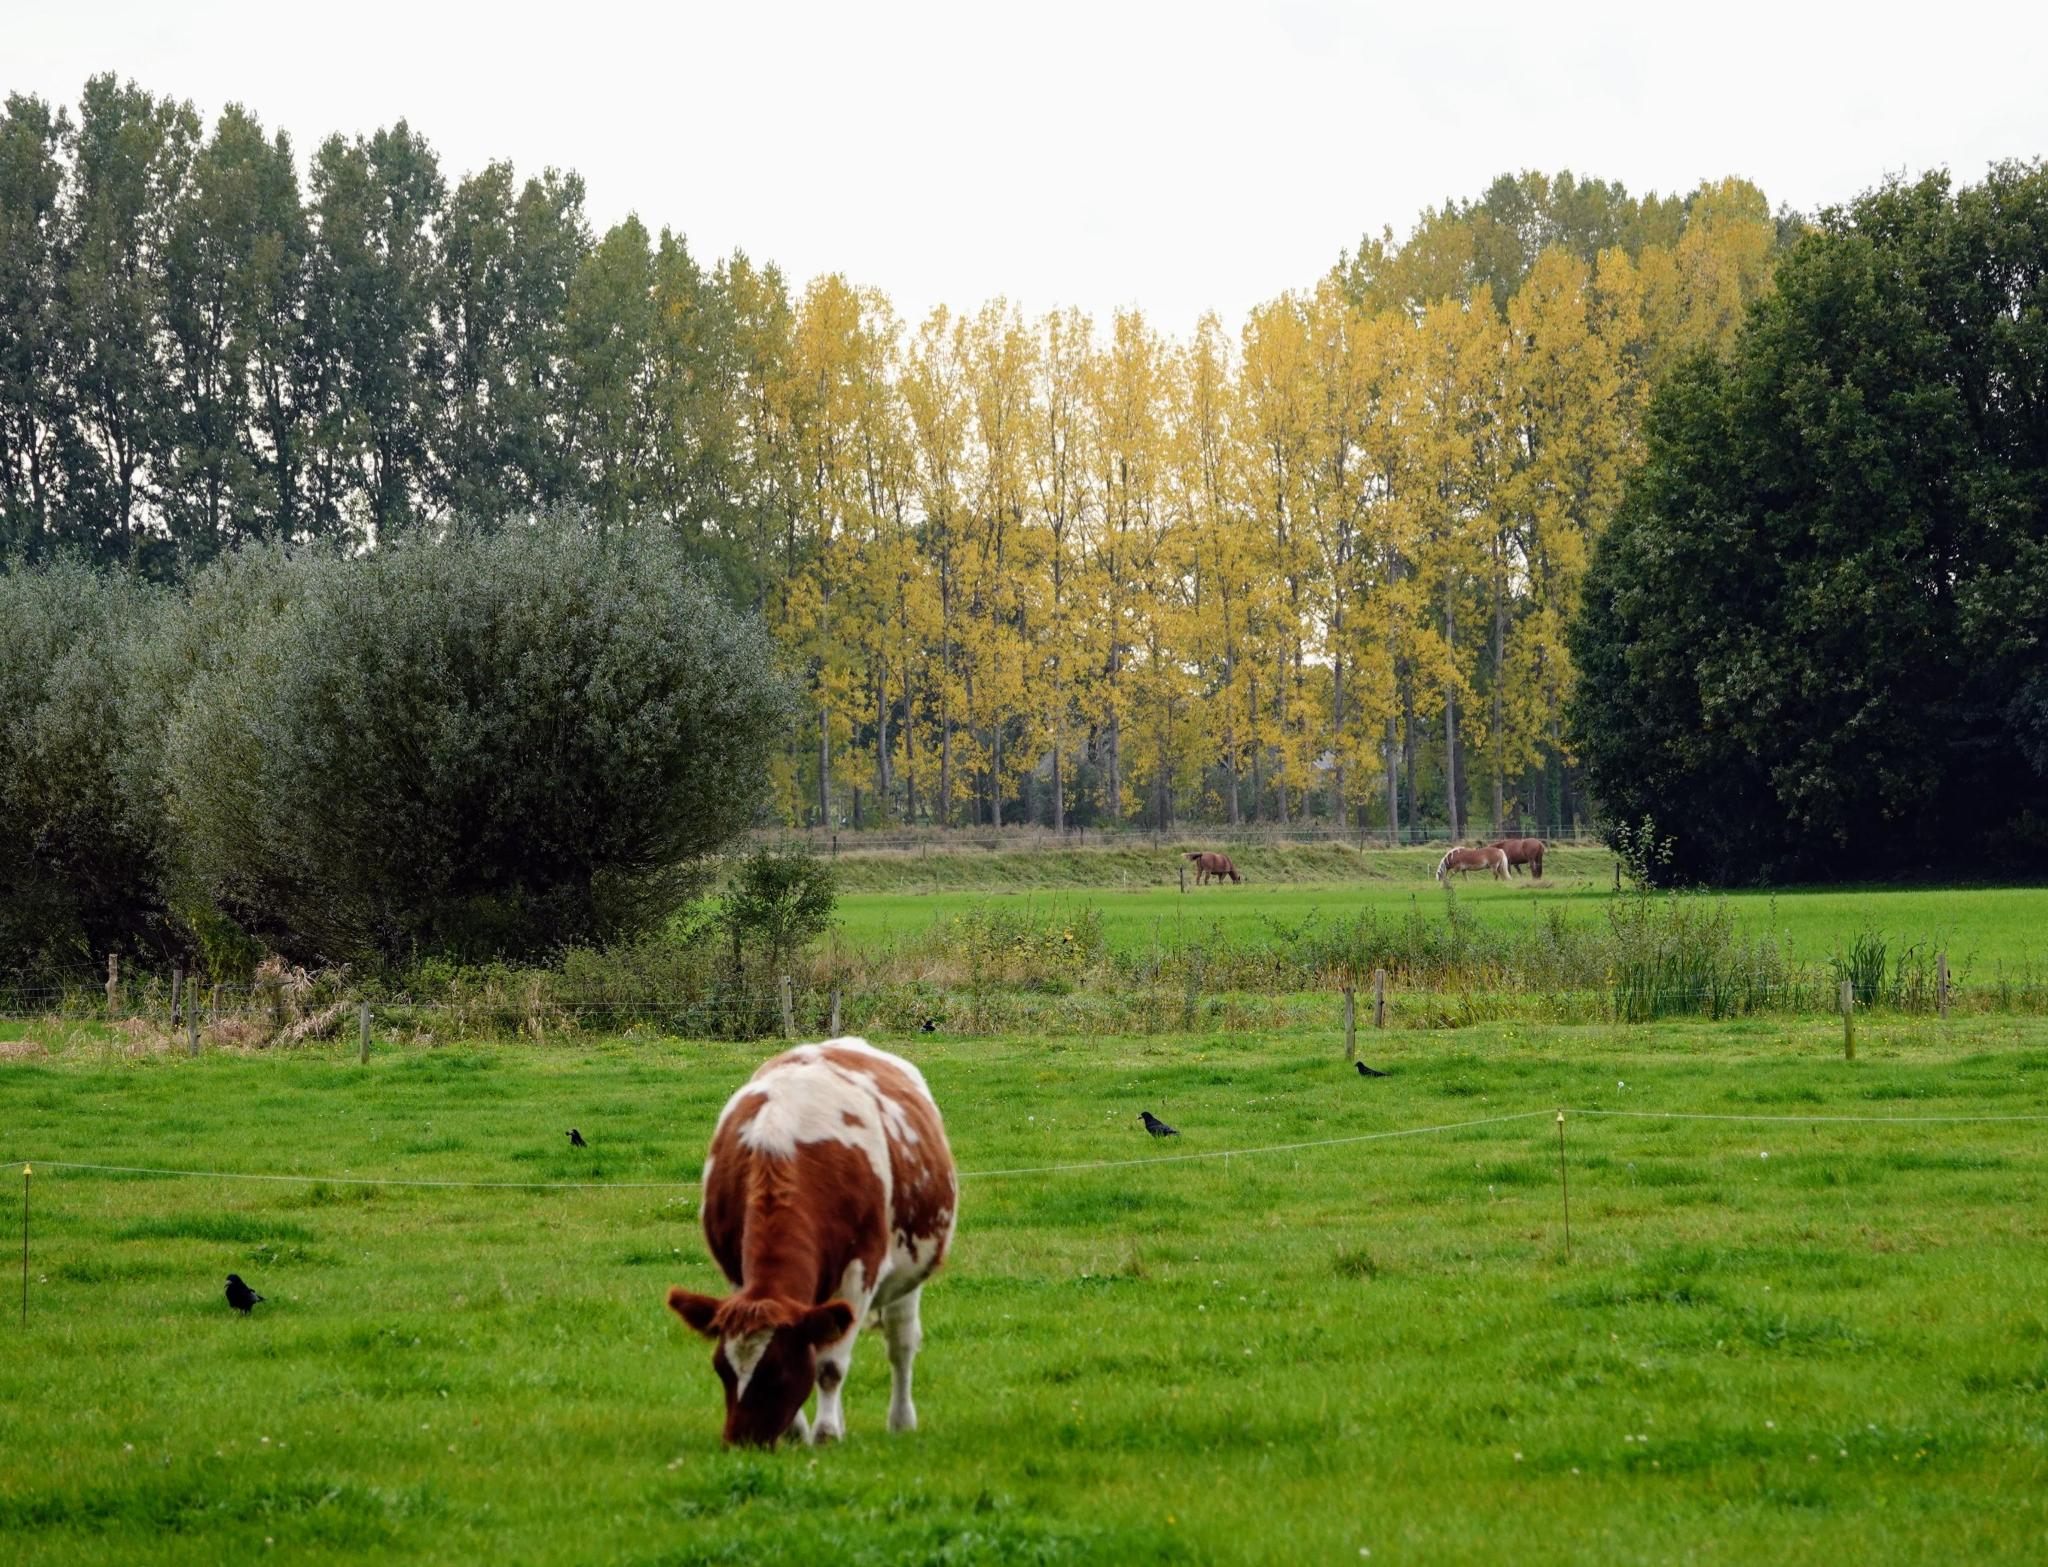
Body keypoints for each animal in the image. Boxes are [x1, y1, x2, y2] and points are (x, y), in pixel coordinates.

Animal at [666, 1038, 957, 1447]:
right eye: (721, 1369)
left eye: (777, 1370)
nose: (741, 1441)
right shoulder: (739, 1276)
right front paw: (797, 1432)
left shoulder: (860, 1272)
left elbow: (830, 1366)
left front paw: (826, 1433)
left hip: (908, 1274)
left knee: (901, 1345)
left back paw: (901, 1421)